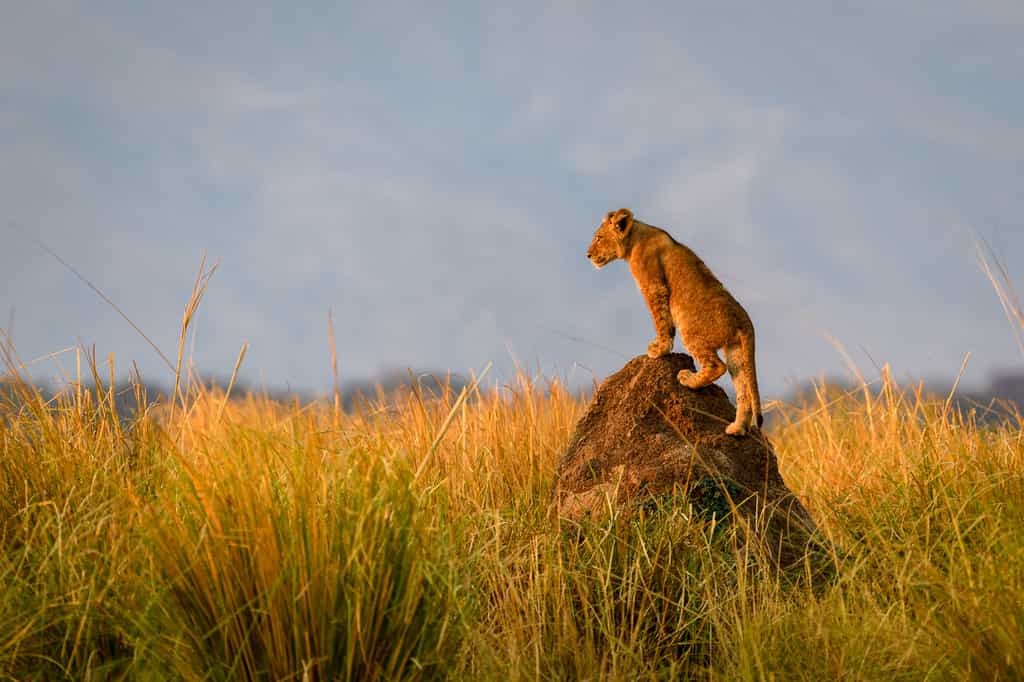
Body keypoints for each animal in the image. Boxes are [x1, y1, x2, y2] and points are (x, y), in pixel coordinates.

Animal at [586, 208, 763, 436]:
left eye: (599, 238)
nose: (587, 255)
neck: (636, 236)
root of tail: (744, 320)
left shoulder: (654, 286)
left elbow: (660, 320)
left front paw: (659, 350)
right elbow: (666, 323)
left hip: (690, 328)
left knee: (716, 366)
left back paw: (687, 379)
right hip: (736, 351)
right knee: (743, 389)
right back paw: (737, 429)